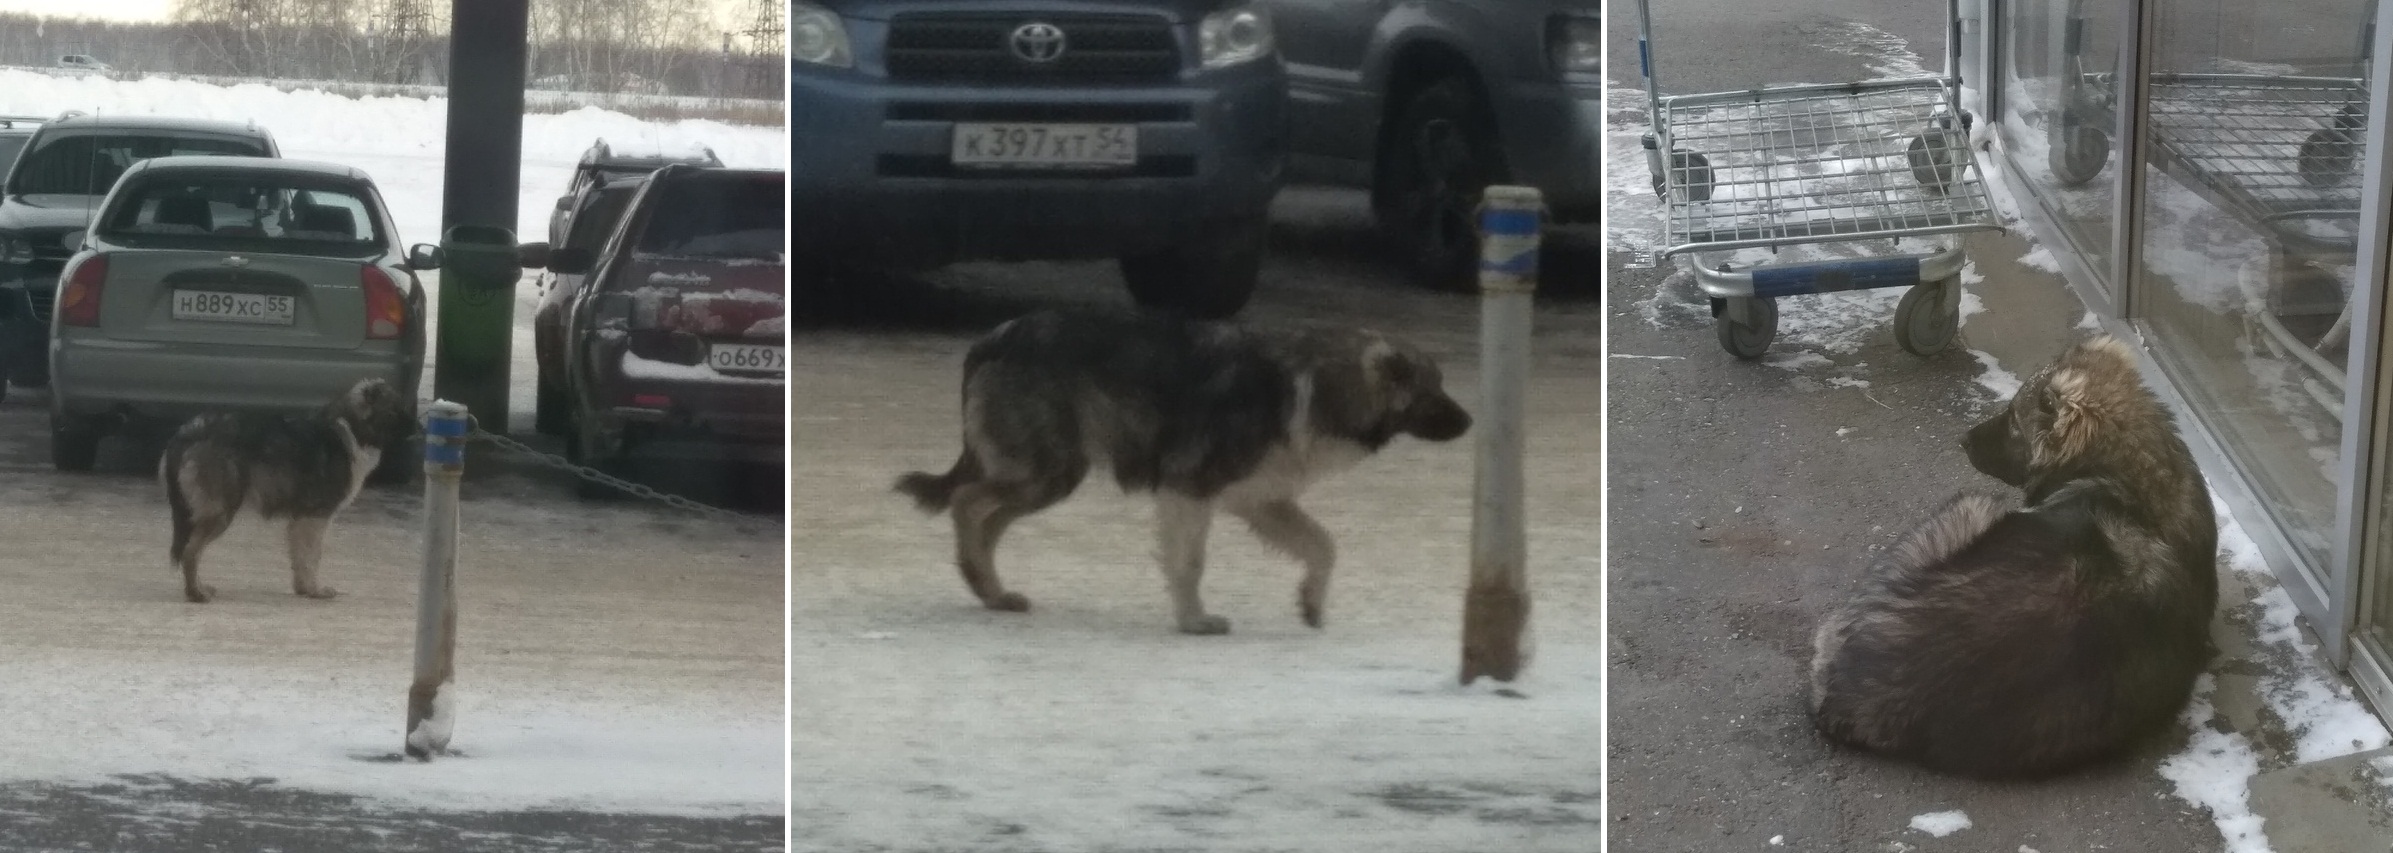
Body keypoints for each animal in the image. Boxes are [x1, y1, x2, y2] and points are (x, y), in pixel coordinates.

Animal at [159, 376, 416, 603]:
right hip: (221, 512)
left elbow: (300, 559)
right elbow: (312, 557)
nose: (418, 429)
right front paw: (316, 590)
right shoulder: (315, 518)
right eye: (397, 410)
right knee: (191, 552)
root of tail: (187, 432)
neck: (352, 427)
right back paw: (196, 594)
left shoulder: (300, 521)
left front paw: (304, 588)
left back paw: (200, 588)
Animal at [894, 309, 1464, 632]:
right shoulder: (1190, 490)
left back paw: (988, 591)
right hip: (1044, 469)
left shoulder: (1262, 500)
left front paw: (1311, 604)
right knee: (968, 502)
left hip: (1052, 475)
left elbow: (1323, 546)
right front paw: (1193, 621)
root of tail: (992, 338)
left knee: (987, 519)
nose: (1471, 421)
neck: (1316, 385)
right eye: (1434, 391)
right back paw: (981, 580)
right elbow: (1190, 564)